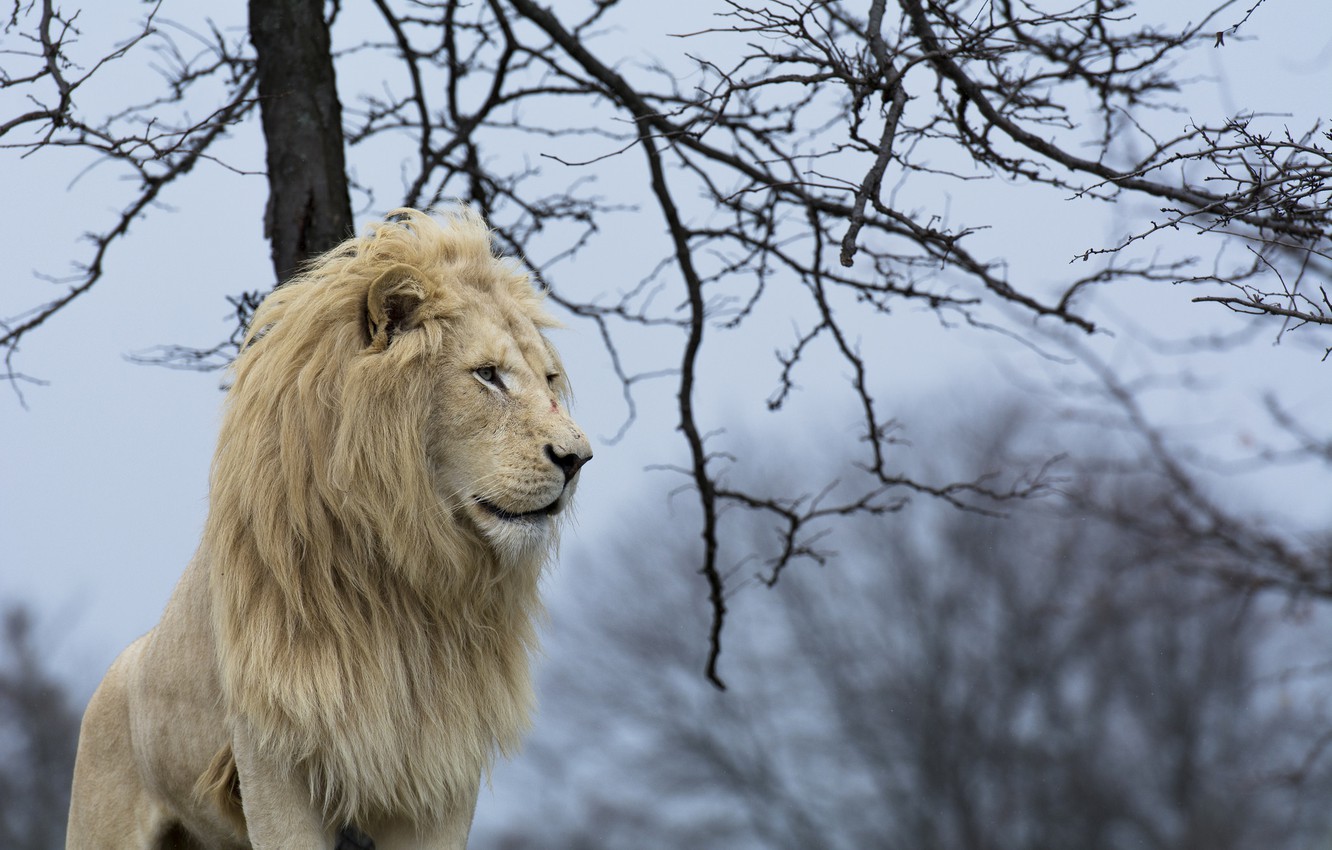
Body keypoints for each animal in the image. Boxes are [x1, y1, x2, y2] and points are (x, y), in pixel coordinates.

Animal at [66, 208, 592, 849]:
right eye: (488, 375)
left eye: (549, 379)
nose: (578, 459)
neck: (407, 573)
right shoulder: (272, 755)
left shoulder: (441, 761)